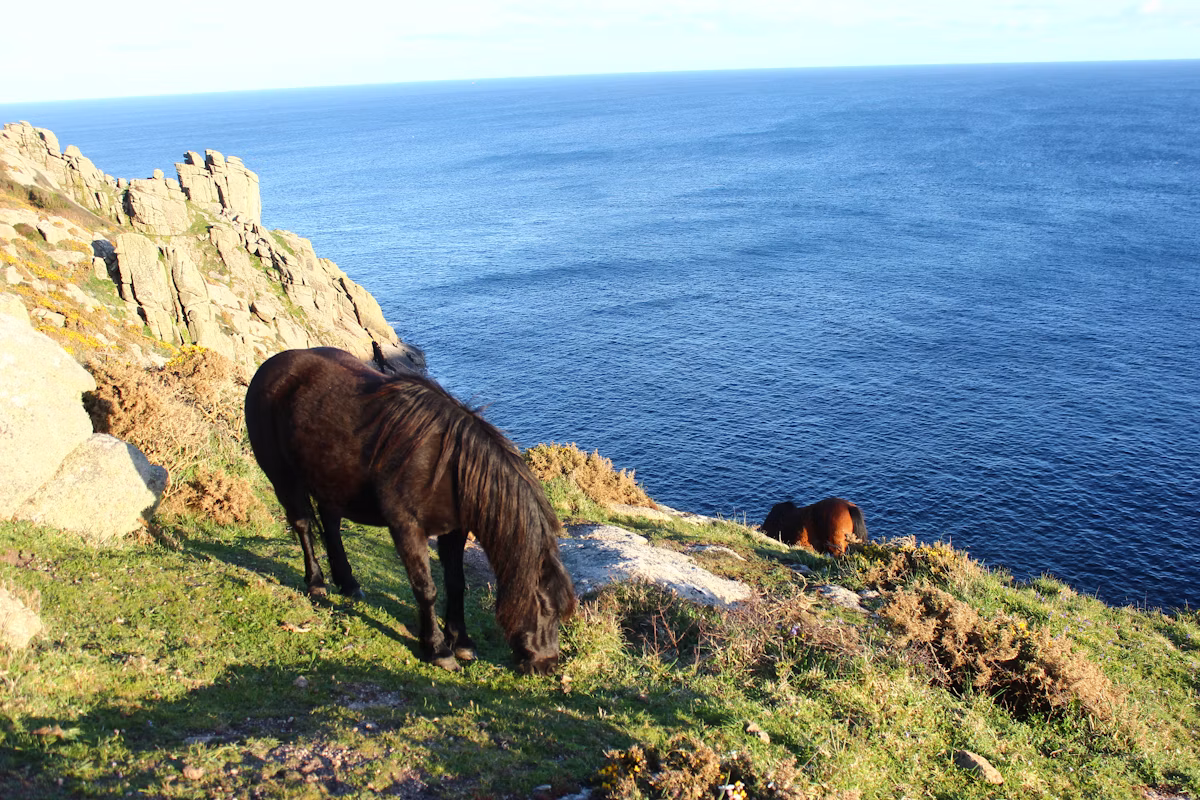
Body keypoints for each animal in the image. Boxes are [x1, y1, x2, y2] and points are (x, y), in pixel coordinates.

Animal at [244, 347, 577, 675]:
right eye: (545, 607)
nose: (548, 665)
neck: (447, 467)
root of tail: (270, 367)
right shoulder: (407, 529)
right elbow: (426, 589)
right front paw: (437, 649)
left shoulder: (455, 530)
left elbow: (456, 583)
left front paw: (462, 641)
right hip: (283, 478)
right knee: (302, 525)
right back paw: (316, 582)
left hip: (330, 482)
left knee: (331, 525)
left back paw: (348, 584)